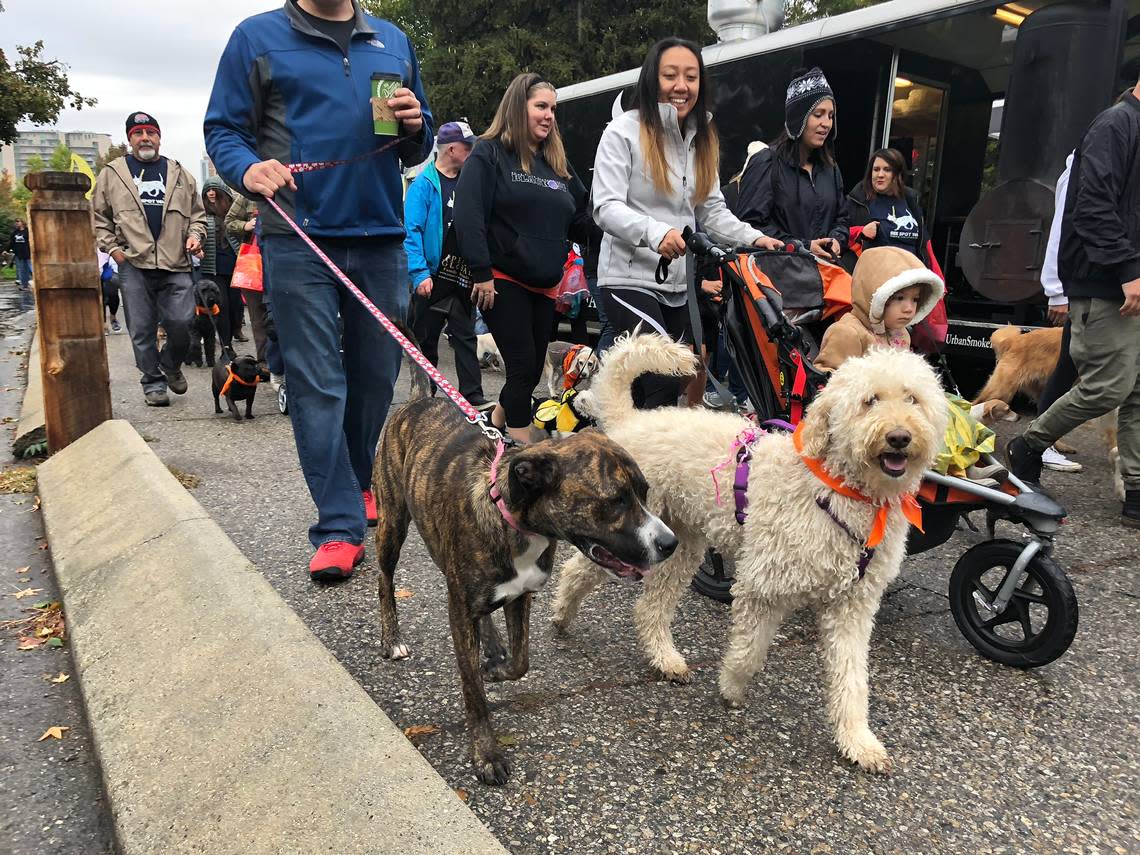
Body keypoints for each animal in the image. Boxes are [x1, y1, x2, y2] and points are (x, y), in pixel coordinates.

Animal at [373, 399, 674, 788]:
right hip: (392, 524)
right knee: (385, 580)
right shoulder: (460, 608)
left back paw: (491, 644)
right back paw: (391, 637)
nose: (671, 543)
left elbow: (521, 662)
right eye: (616, 501)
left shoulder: (520, 596)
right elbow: (474, 693)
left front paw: (496, 669)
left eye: (645, 492)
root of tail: (420, 400)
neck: (512, 517)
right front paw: (486, 755)